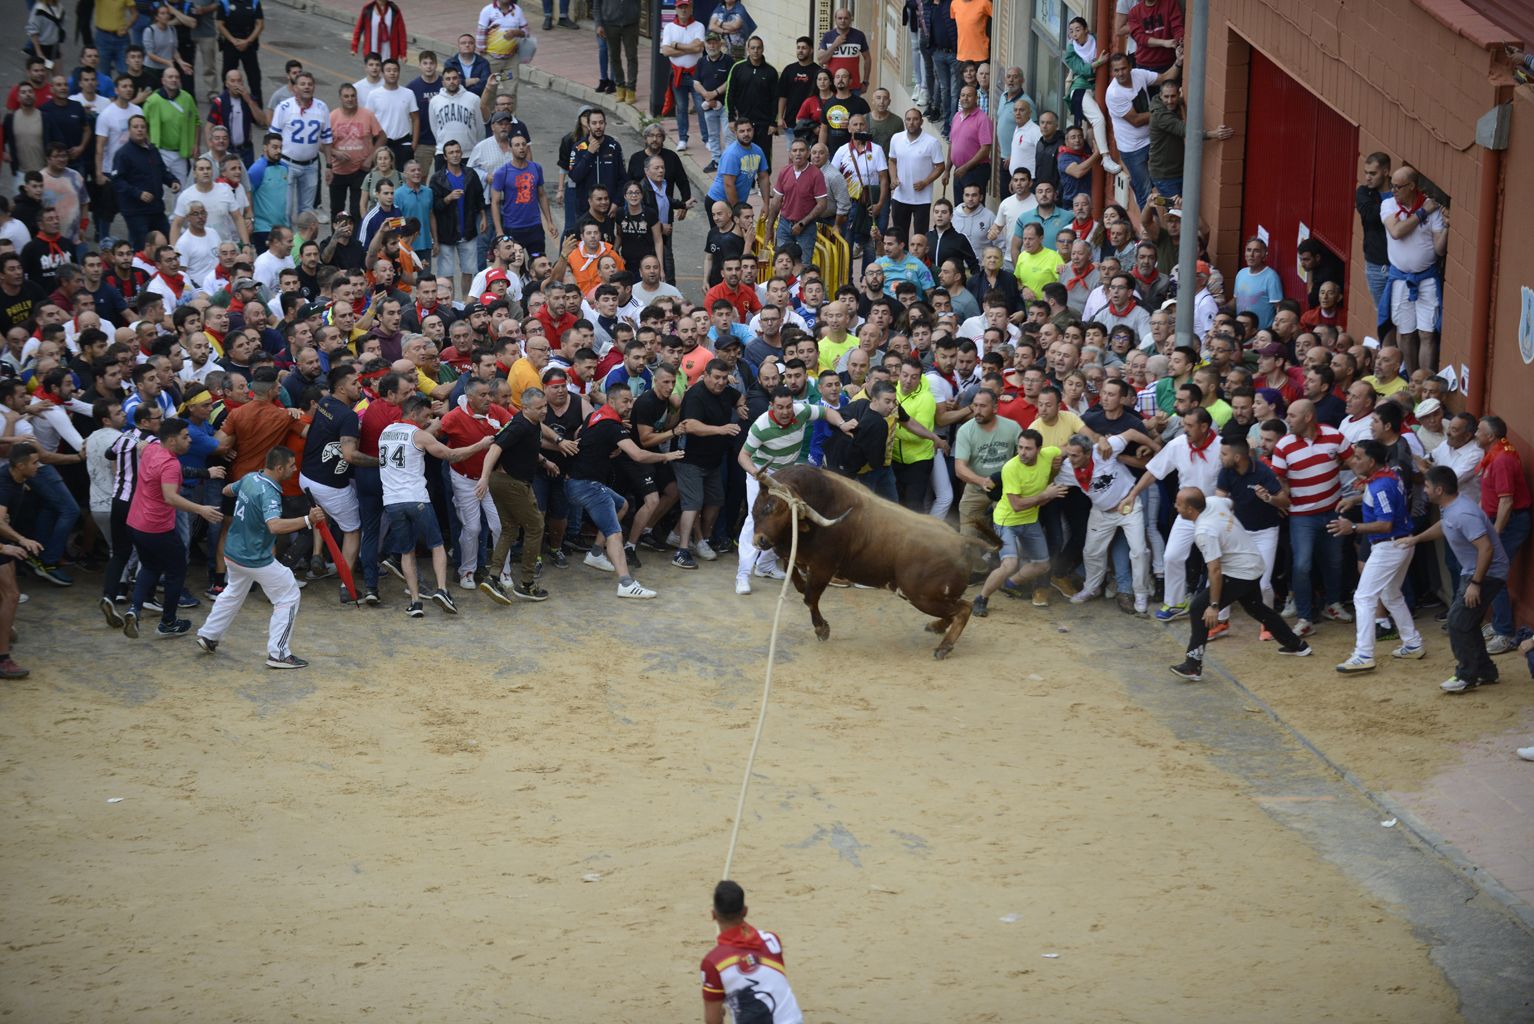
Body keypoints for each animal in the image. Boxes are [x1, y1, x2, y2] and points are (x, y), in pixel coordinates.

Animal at [751, 469, 994, 659]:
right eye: (767, 506)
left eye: (781, 509)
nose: (760, 541)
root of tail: (960, 540)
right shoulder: (795, 558)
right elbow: (798, 582)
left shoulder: (823, 568)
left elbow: (809, 597)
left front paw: (822, 629)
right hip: (928, 596)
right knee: (957, 608)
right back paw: (937, 627)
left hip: (922, 596)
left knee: (964, 608)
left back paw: (944, 647)